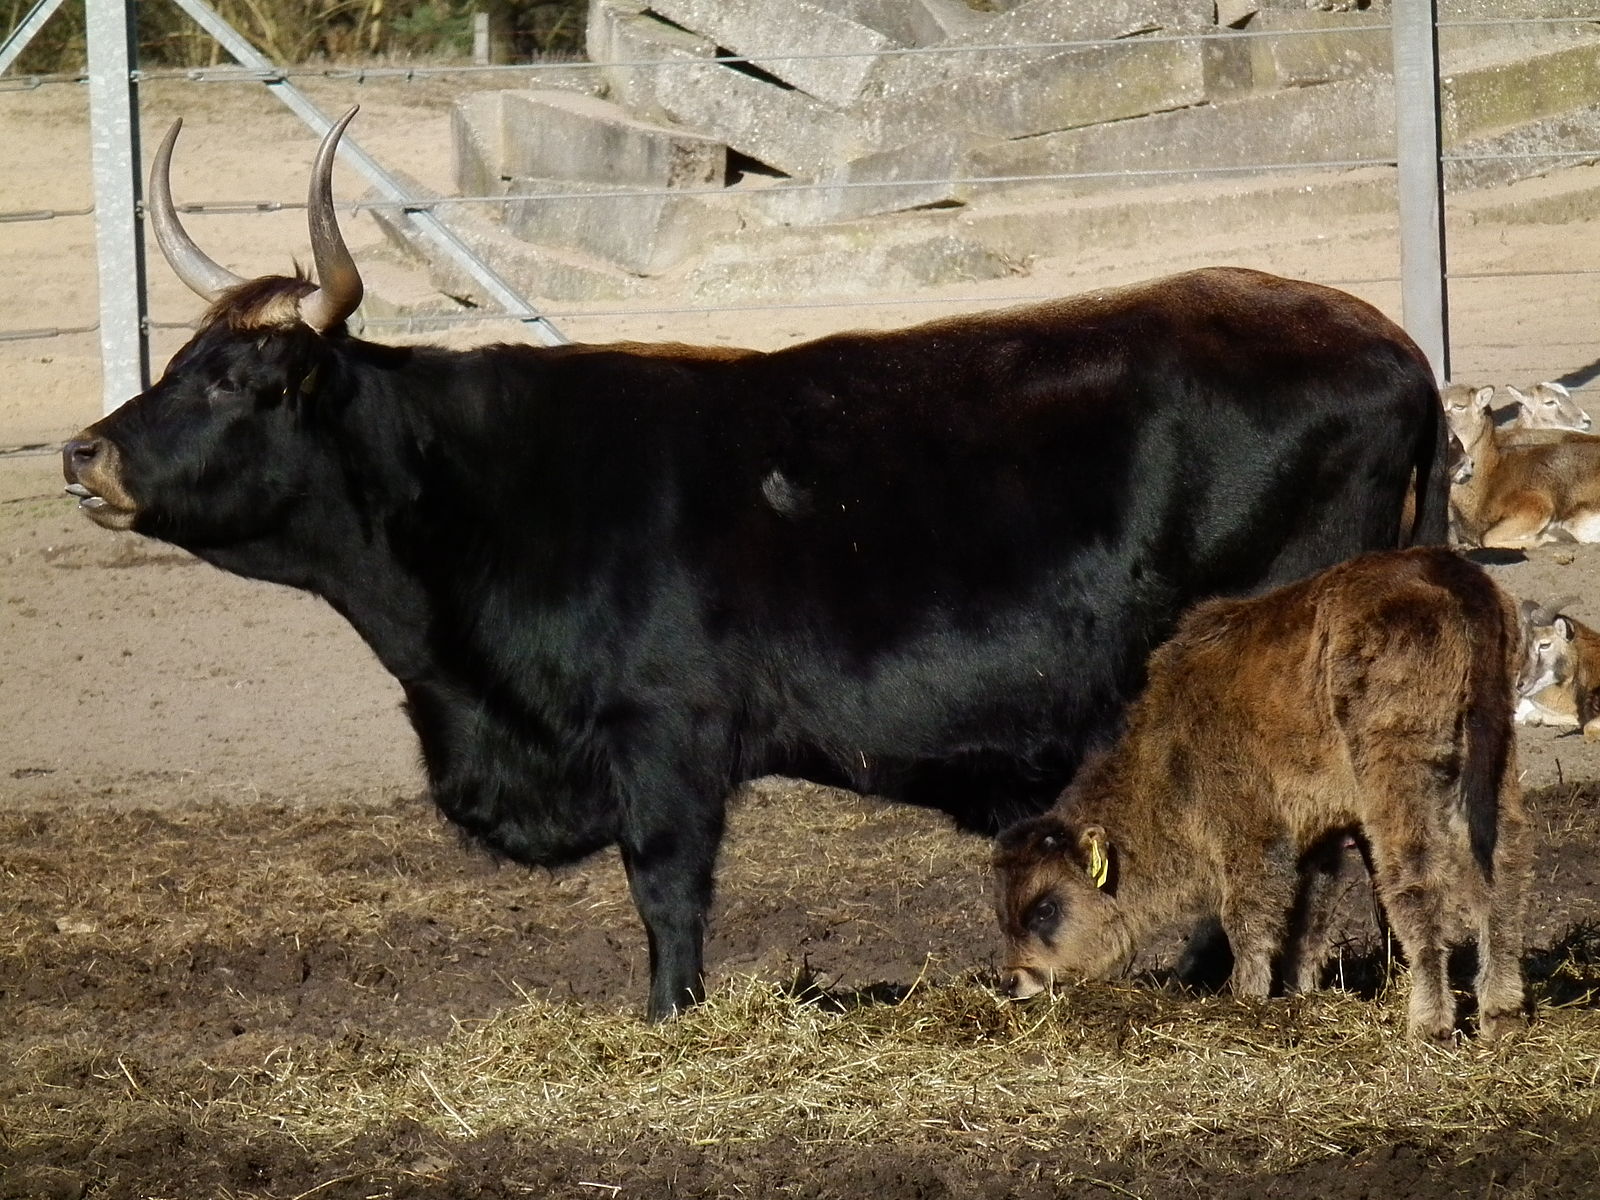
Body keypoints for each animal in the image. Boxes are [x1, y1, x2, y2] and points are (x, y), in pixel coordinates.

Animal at [62, 112, 1452, 1017]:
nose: (84, 451)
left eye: (243, 381)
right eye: (180, 361)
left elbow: (667, 893)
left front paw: (668, 1019)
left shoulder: (665, 740)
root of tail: (1387, 342)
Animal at [992, 550, 1529, 1049]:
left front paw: (1245, 997)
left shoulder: (1251, 832)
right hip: (1493, 762)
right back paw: (1499, 1015)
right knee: (1501, 874)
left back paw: (1429, 1024)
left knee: (1415, 881)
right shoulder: (1319, 836)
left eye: (1045, 909)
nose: (1014, 981)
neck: (1167, 748)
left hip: (1400, 778)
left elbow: (1249, 918)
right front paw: (1299, 994)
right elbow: (1309, 917)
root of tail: (1449, 574)